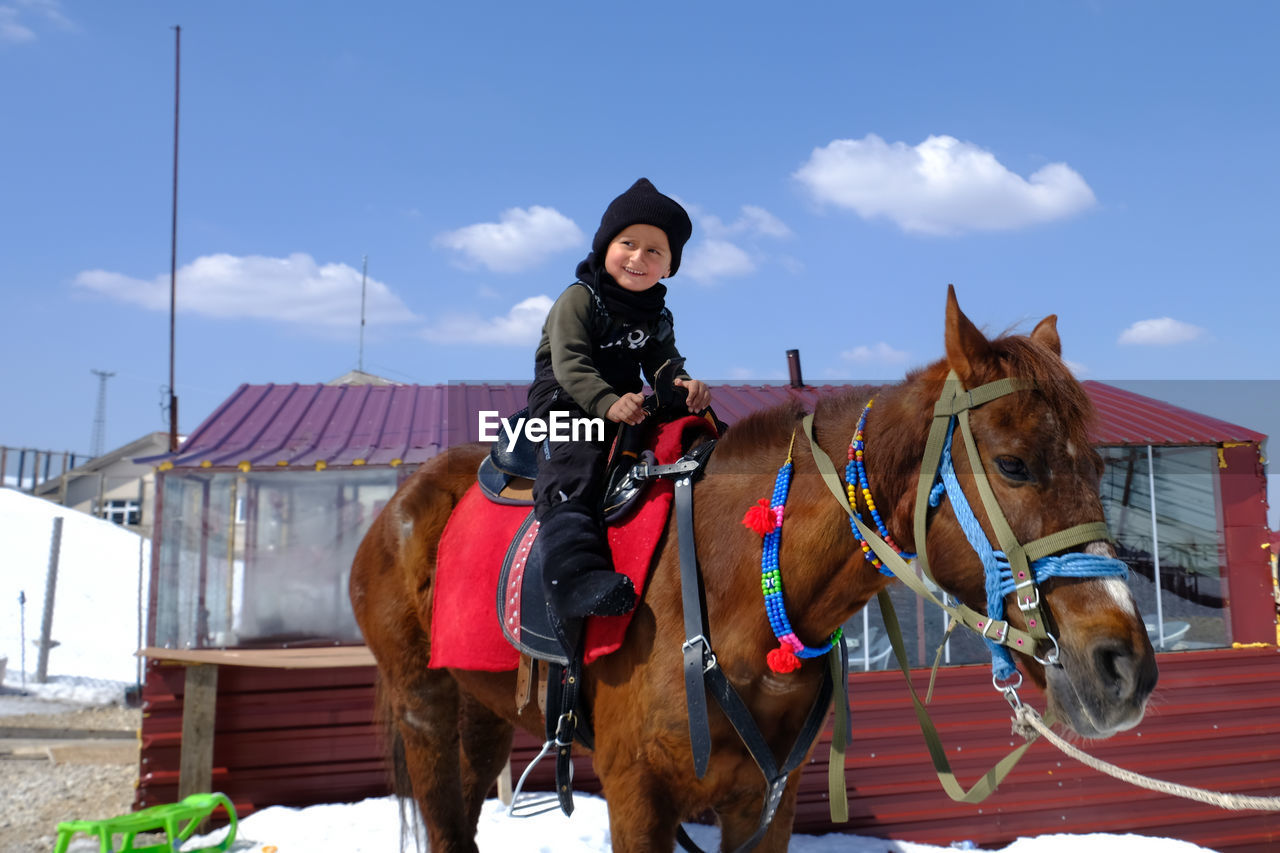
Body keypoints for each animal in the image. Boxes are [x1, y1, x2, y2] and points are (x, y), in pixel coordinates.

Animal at [350, 286, 1162, 850]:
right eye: (1014, 464)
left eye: (1099, 469)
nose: (1125, 666)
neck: (738, 595)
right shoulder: (637, 799)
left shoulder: (764, 804)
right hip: (424, 705)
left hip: (481, 710)